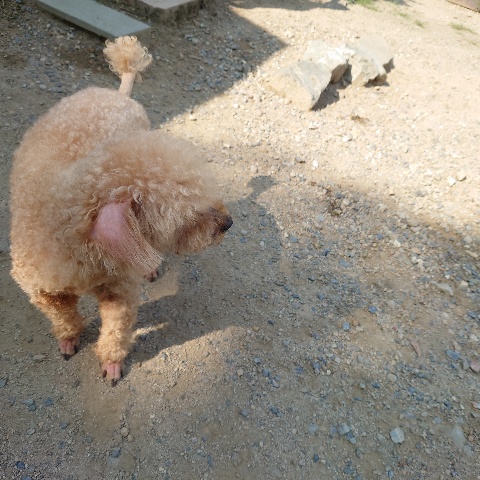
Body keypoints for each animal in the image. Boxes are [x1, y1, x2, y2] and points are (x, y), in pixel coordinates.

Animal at [10, 36, 232, 385]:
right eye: (187, 217)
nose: (229, 222)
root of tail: (119, 93)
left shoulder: (120, 288)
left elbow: (117, 327)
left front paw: (112, 364)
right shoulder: (38, 287)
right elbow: (62, 314)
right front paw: (68, 339)